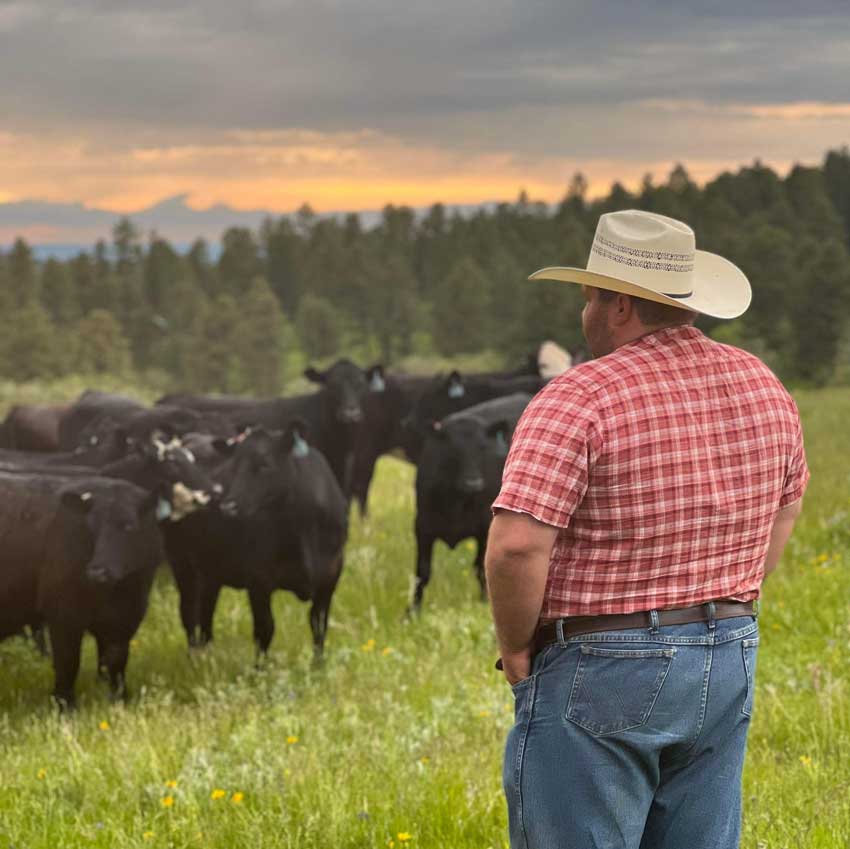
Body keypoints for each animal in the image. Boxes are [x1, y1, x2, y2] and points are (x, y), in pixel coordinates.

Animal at [0, 474, 162, 704]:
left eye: (128, 526)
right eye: (90, 528)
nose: (98, 572)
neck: (116, 592)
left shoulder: (128, 615)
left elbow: (115, 661)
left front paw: (119, 699)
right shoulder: (63, 614)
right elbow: (68, 662)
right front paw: (65, 704)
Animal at [162, 424, 348, 656]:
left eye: (264, 465)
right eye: (233, 467)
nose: (228, 507)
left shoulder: (329, 578)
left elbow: (319, 627)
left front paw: (318, 664)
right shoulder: (259, 579)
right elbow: (265, 629)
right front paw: (260, 666)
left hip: (211, 567)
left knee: (206, 610)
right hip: (180, 560)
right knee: (188, 612)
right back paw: (195, 657)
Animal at [412, 390, 528, 608]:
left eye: (483, 448)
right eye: (452, 449)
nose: (474, 483)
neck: (456, 500)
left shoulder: (485, 528)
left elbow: (481, 570)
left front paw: (483, 603)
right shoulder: (422, 527)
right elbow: (421, 573)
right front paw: (412, 610)